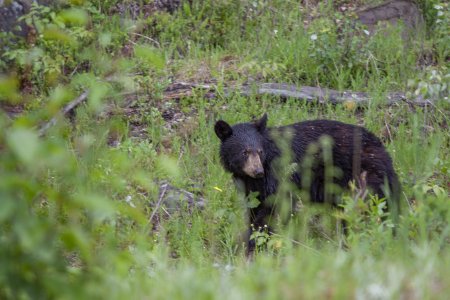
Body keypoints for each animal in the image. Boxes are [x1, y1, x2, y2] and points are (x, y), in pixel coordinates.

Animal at [214, 113, 400, 252]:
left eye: (259, 151)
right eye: (244, 152)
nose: (258, 171)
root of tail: (382, 148)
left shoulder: (278, 173)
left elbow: (273, 206)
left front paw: (255, 243)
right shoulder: (251, 186)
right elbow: (254, 206)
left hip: (364, 176)